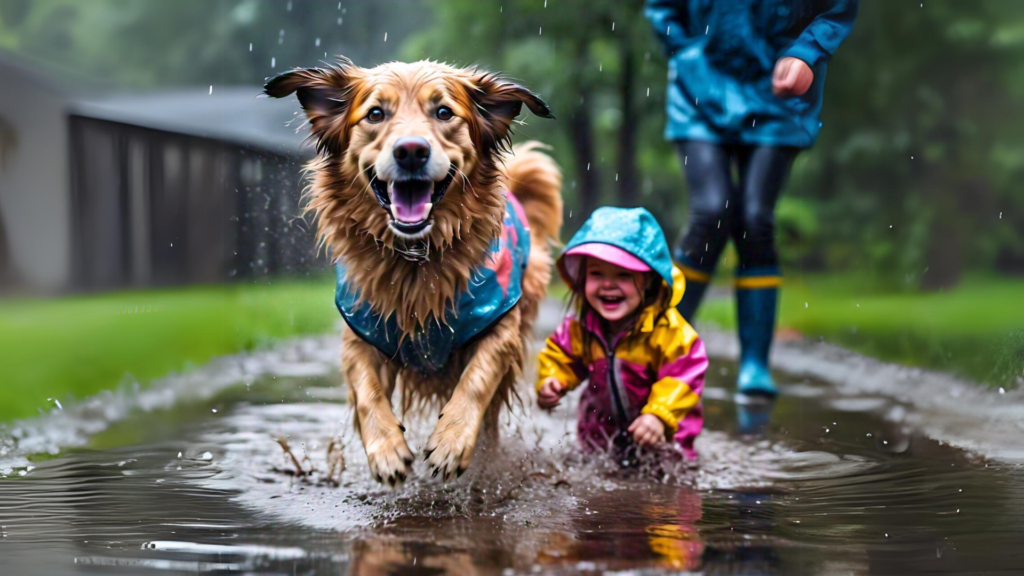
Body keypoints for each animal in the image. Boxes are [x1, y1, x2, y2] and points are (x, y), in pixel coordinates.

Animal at [266, 58, 561, 481]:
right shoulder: (362, 332)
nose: (410, 151)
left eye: (444, 112)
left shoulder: (499, 324)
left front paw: (451, 442)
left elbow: (477, 379)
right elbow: (367, 392)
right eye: (375, 114)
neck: (416, 259)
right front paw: (386, 450)